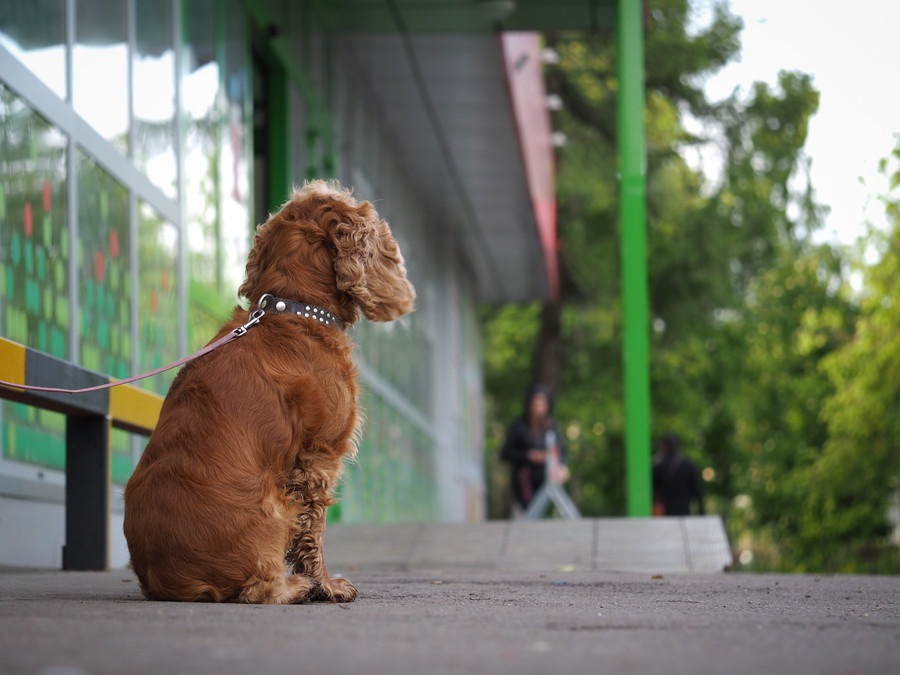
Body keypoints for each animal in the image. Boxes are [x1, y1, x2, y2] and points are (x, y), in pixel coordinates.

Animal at [125, 178, 416, 604]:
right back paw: (295, 586)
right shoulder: (319, 457)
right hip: (276, 506)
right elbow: (315, 529)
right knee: (257, 588)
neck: (294, 307)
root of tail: (169, 580)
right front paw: (326, 585)